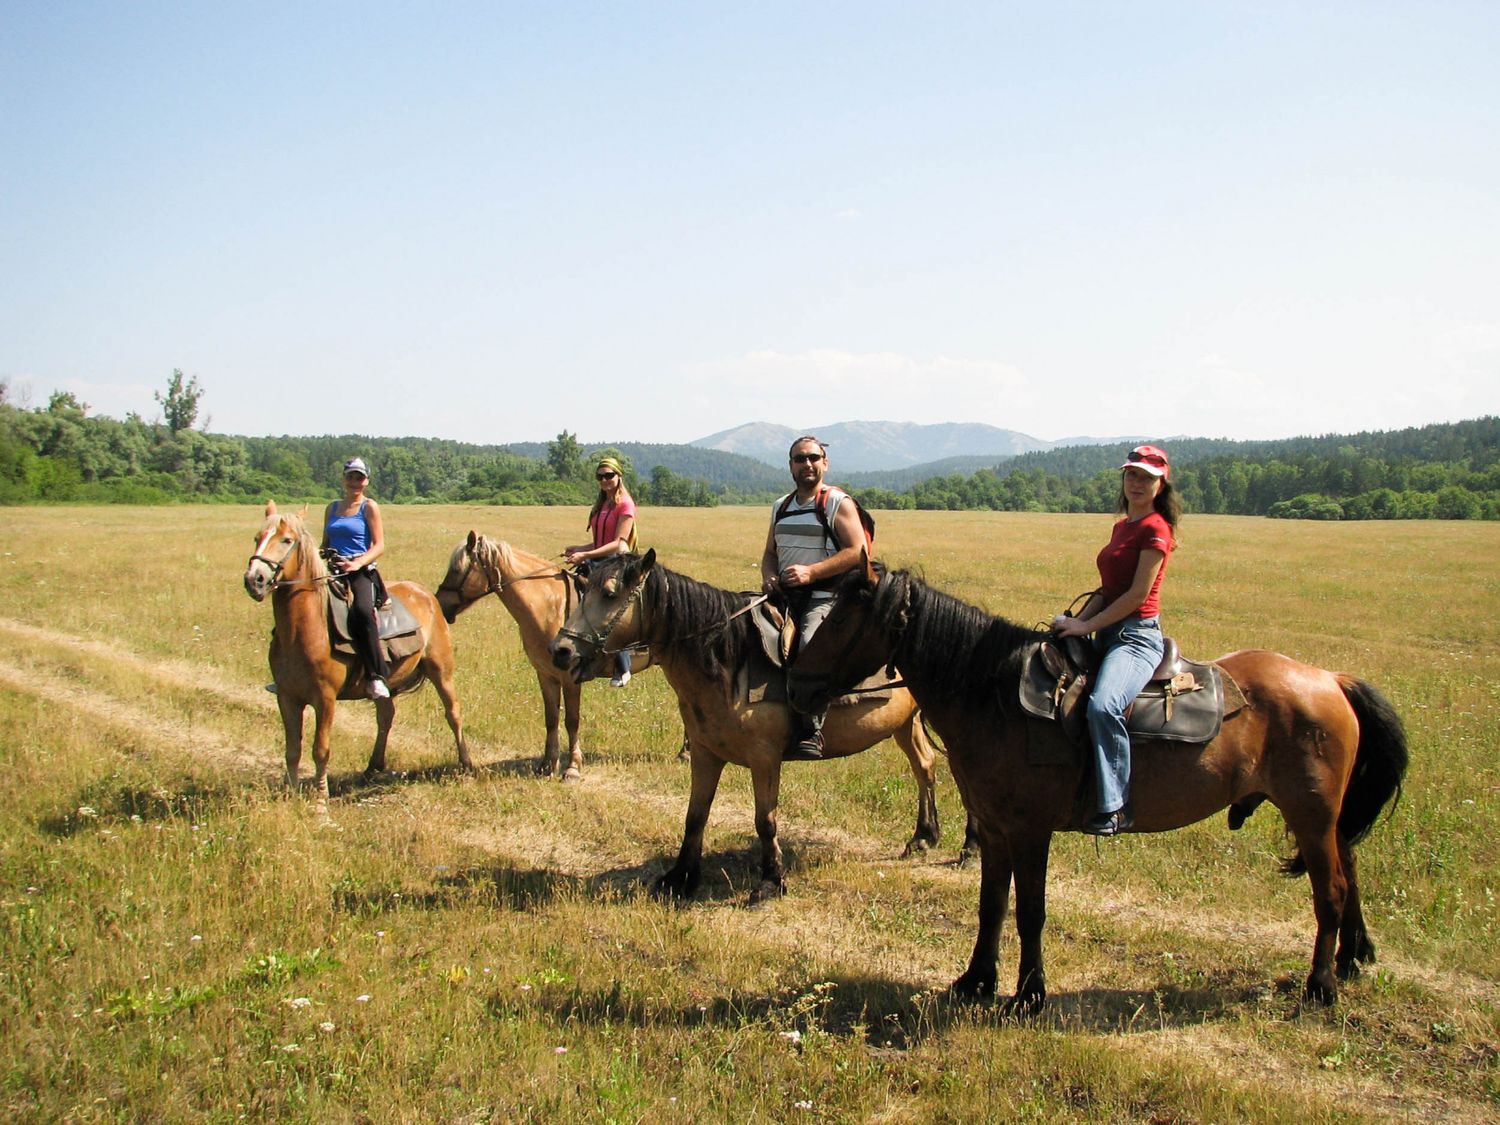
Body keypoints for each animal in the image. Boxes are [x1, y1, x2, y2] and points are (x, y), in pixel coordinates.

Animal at [243, 501, 471, 804]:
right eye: (257, 537)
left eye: (287, 540)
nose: (254, 580)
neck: (304, 628)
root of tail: (426, 594)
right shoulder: (287, 697)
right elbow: (292, 750)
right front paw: (290, 793)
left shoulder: (325, 699)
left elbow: (320, 749)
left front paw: (320, 797)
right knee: (386, 716)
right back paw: (373, 767)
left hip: (441, 670)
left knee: (453, 712)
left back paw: (466, 763)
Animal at [435, 534, 645, 786]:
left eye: (457, 569)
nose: (439, 603)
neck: (549, 606)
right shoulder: (545, 674)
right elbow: (551, 718)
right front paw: (547, 765)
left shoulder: (570, 678)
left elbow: (572, 720)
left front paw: (572, 767)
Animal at [546, 552, 978, 912]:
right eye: (584, 588)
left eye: (610, 593)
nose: (560, 651)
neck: (727, 660)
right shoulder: (705, 754)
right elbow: (695, 816)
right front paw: (681, 877)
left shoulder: (764, 759)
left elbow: (764, 821)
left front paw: (771, 882)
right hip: (905, 724)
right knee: (925, 767)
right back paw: (923, 836)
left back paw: (969, 846)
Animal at [792, 561, 1410, 1020]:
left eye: (842, 617)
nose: (797, 681)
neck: (992, 693)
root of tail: (1330, 680)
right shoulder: (992, 828)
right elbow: (992, 905)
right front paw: (976, 981)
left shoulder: (1029, 831)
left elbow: (1030, 911)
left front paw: (1028, 996)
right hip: (1323, 819)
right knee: (1348, 868)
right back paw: (1353, 957)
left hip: (1311, 814)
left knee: (1329, 890)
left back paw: (1321, 986)